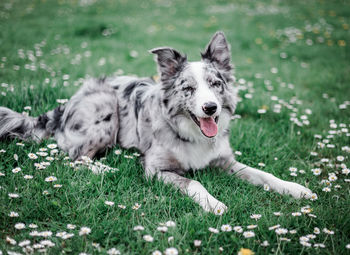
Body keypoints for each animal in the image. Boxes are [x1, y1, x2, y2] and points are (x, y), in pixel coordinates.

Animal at [0, 32, 312, 215]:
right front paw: (214, 203)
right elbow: (193, 183)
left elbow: (264, 175)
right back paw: (104, 167)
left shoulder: (225, 161)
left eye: (216, 84)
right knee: (73, 157)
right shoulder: (155, 169)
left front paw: (296, 189)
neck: (192, 134)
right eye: (188, 88)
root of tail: (66, 104)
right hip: (105, 107)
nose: (210, 108)